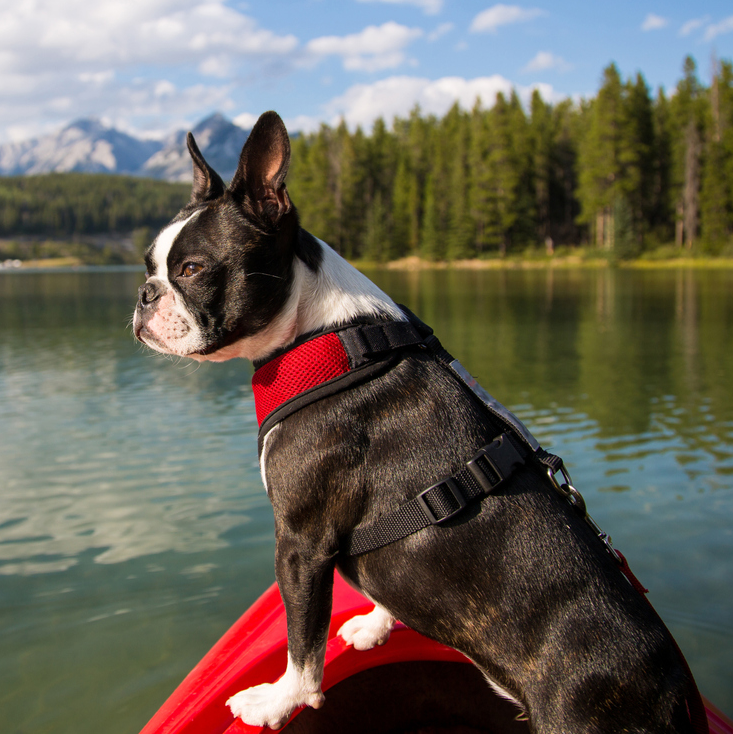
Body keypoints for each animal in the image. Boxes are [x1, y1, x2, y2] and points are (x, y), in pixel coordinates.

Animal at [136, 112, 704, 732]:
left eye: (192, 270)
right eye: (148, 266)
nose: (143, 295)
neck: (323, 334)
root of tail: (677, 696)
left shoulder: (301, 544)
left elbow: (303, 643)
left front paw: (280, 700)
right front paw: (377, 623)